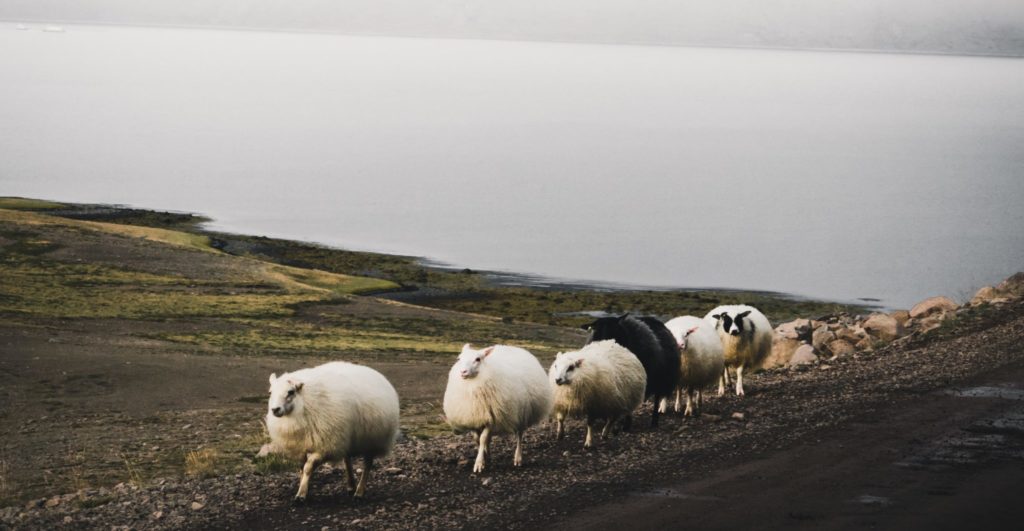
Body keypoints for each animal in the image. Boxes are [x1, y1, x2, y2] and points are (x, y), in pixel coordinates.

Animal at [264, 360, 399, 501]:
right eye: (270, 392)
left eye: (291, 392)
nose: (275, 409)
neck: (305, 403)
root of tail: (378, 374)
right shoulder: (301, 445)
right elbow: (302, 468)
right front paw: (303, 487)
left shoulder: (326, 446)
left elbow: (308, 467)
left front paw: (301, 494)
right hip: (346, 437)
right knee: (347, 460)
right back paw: (351, 486)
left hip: (373, 440)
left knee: (367, 464)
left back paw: (359, 491)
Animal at [440, 345, 552, 474]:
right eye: (459, 358)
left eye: (478, 359)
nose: (463, 372)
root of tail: (514, 347)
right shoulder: (474, 417)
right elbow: (478, 439)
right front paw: (485, 458)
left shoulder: (492, 417)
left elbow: (483, 439)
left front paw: (479, 463)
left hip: (522, 414)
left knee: (519, 435)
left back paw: (518, 458)